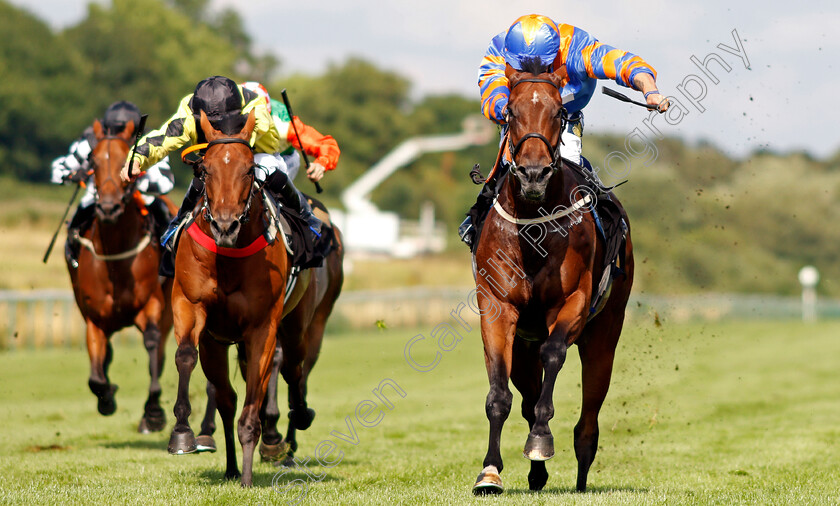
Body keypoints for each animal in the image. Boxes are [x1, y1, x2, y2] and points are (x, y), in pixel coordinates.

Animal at [67, 117, 176, 430]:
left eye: (126, 156)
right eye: (93, 160)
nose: (108, 207)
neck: (116, 262)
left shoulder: (152, 304)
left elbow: (152, 344)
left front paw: (153, 412)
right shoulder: (94, 318)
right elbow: (96, 374)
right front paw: (107, 398)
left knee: (159, 352)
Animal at [167, 110, 338, 486]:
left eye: (248, 169)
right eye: (205, 170)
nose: (225, 226)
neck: (228, 257)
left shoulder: (262, 327)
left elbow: (253, 405)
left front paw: (248, 477)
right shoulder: (191, 308)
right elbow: (186, 356)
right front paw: (182, 434)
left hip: (302, 323)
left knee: (293, 369)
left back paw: (296, 421)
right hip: (218, 342)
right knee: (227, 398)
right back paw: (231, 465)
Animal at [470, 63, 632, 494]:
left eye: (560, 113)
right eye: (509, 112)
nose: (533, 174)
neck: (532, 227)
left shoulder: (572, 301)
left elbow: (555, 353)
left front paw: (541, 440)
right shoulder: (497, 307)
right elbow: (498, 396)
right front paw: (489, 472)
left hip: (604, 334)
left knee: (588, 421)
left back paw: (578, 477)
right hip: (524, 345)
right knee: (526, 396)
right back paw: (536, 474)